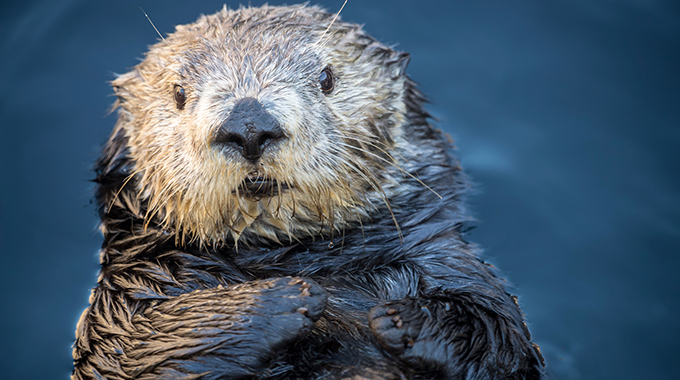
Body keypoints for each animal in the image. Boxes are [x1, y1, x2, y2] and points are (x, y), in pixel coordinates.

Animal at [71, 3, 544, 380]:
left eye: (327, 77)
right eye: (179, 93)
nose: (248, 125)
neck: (297, 256)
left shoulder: (449, 262)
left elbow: (499, 330)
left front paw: (401, 320)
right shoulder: (126, 295)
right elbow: (130, 348)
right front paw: (286, 298)